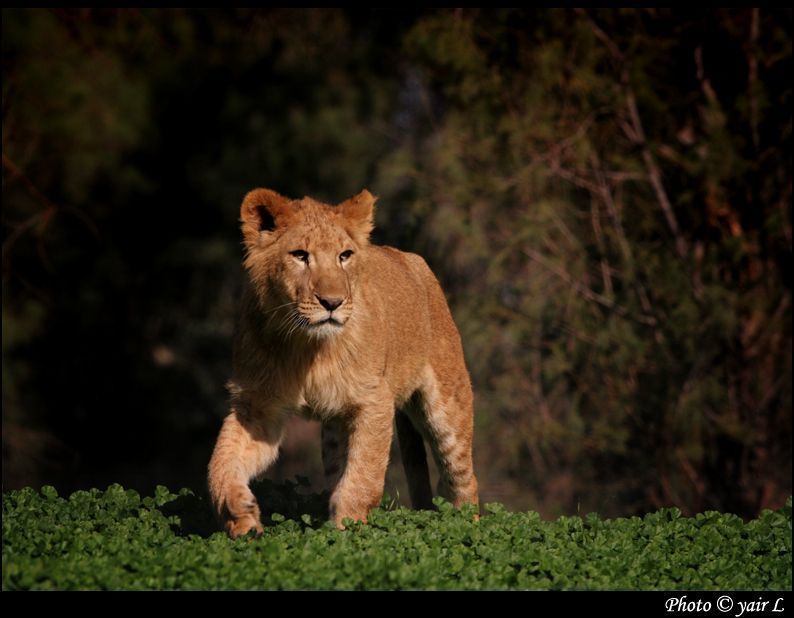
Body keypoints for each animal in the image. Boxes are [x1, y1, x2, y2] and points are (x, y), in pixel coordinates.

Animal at [207, 188, 476, 536]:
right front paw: (240, 514)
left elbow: (363, 477)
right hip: (336, 429)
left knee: (463, 479)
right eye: (300, 255)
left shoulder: (374, 401)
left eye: (344, 256)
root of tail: (412, 259)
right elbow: (222, 460)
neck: (306, 347)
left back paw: (467, 528)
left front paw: (348, 533)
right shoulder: (258, 406)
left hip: (448, 407)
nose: (332, 302)